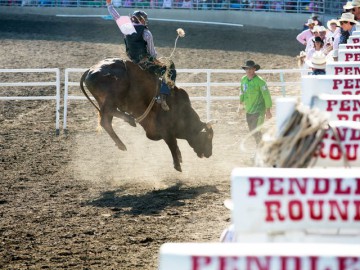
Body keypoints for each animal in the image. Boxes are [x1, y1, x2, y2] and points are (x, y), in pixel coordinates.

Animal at [79, 58, 214, 172]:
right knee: (108, 111)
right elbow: (172, 144)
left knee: (105, 121)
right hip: (113, 95)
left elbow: (174, 144)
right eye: (208, 137)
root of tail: (90, 70)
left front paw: (179, 157)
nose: (210, 154)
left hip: (103, 99)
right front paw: (177, 165)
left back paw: (122, 143)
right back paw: (129, 120)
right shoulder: (166, 130)